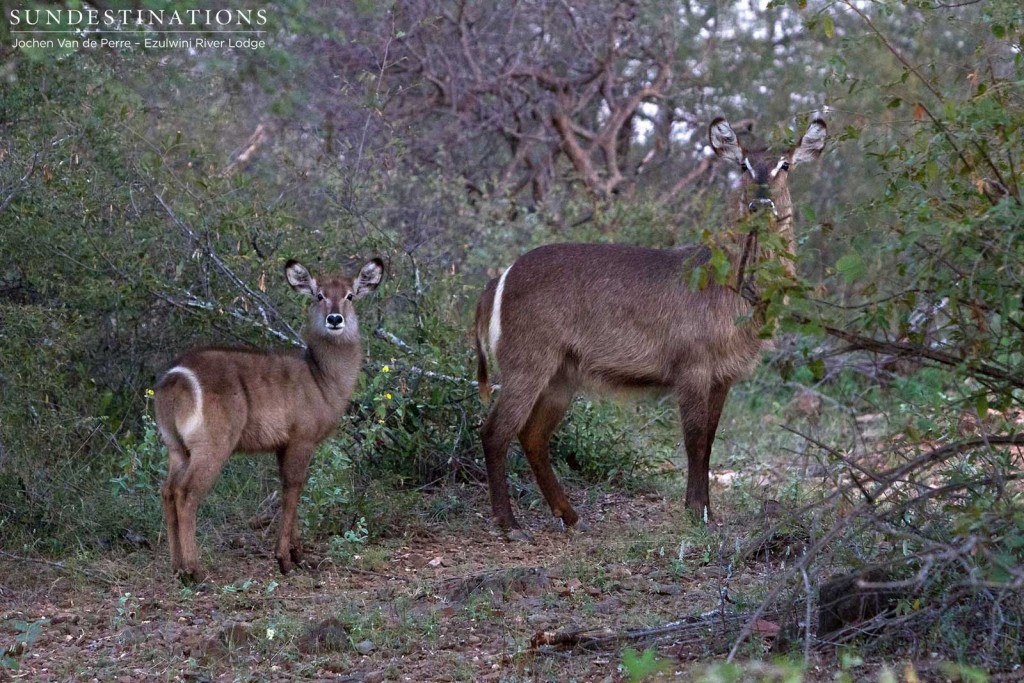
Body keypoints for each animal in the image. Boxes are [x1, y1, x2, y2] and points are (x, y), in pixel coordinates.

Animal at [155, 259, 385, 581]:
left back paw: (177, 568)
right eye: (319, 295)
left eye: (350, 295)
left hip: (177, 448)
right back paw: (194, 571)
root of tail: (176, 377)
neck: (321, 377)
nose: (335, 319)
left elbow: (290, 488)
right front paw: (284, 559)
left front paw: (298, 554)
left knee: (167, 491)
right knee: (185, 494)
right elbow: (293, 489)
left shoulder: (282, 444)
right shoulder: (302, 439)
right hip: (211, 447)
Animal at [475, 116, 827, 532]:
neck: (731, 284)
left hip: (561, 375)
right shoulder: (693, 368)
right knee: (495, 431)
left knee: (532, 436)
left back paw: (569, 514)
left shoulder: (723, 377)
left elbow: (710, 440)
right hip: (527, 365)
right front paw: (695, 511)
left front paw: (708, 511)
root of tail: (500, 278)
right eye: (743, 164)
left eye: (785, 165)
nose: (760, 203)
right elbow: (694, 440)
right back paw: (508, 522)